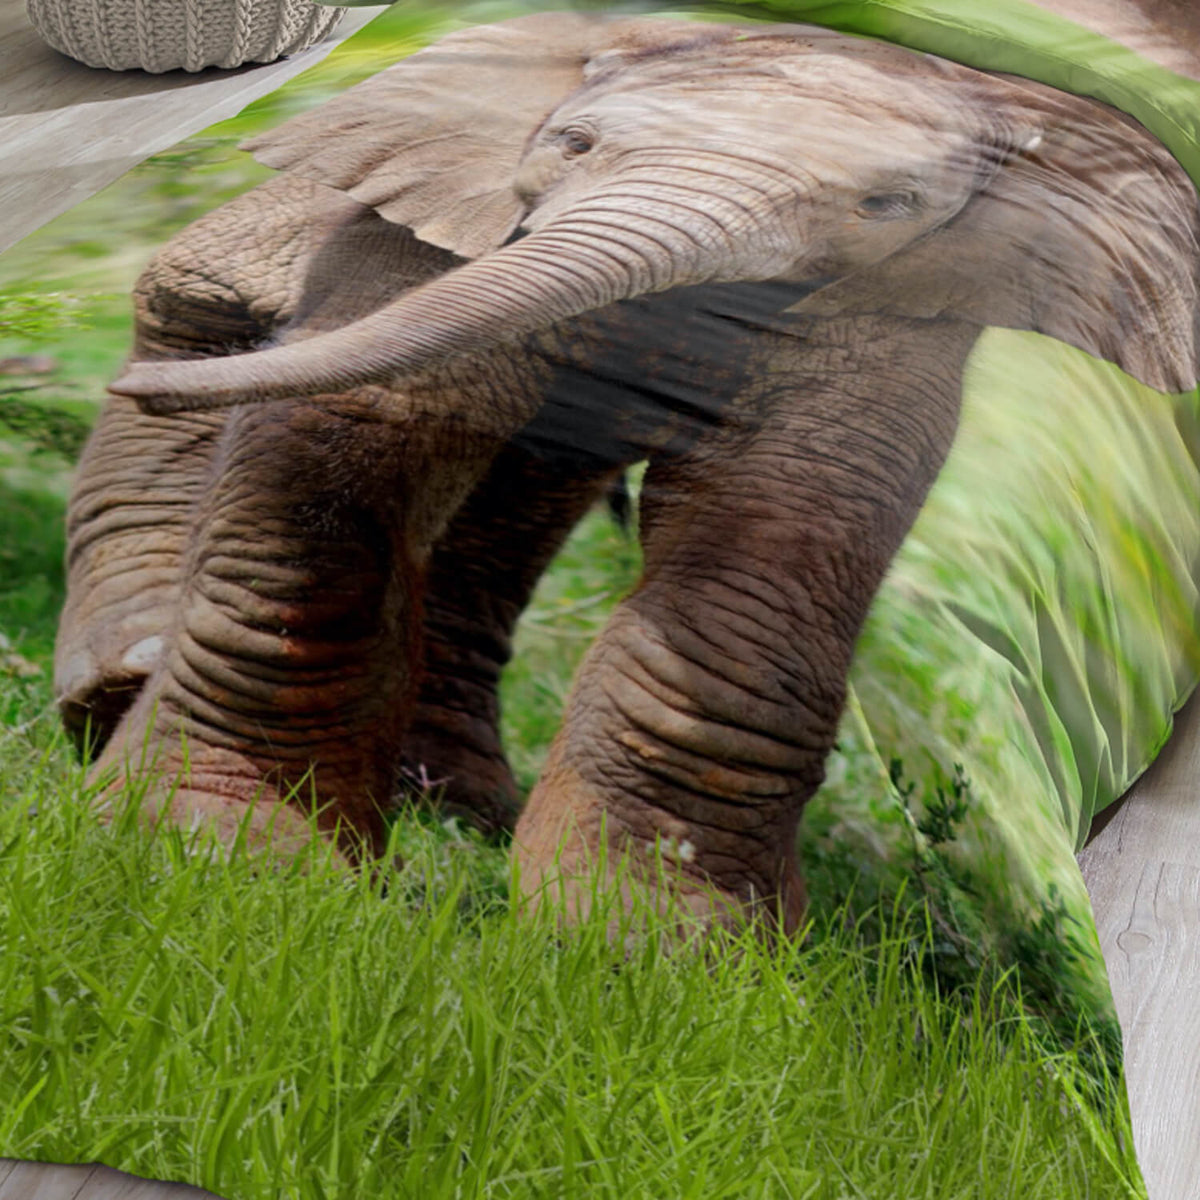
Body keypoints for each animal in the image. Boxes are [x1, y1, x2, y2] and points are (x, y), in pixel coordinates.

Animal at [64, 12, 1200, 929]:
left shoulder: (904, 302)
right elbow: (371, 420)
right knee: (215, 305)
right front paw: (213, 859)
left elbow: (788, 521)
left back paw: (454, 810)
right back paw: (120, 682)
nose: (129, 387)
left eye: (887, 203)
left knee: (525, 490)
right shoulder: (435, 211)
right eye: (574, 144)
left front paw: (654, 952)